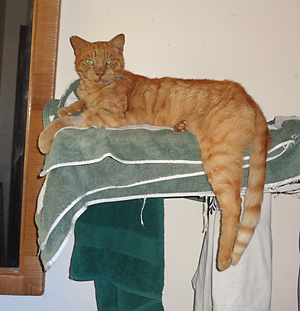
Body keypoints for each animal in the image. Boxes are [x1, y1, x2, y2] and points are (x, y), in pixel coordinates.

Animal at [37, 33, 270, 270]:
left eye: (109, 61)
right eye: (90, 61)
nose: (100, 73)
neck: (95, 88)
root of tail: (247, 96)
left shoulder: (109, 116)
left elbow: (66, 122)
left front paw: (46, 137)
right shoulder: (90, 103)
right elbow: (78, 105)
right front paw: (66, 108)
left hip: (218, 159)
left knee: (234, 205)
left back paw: (223, 257)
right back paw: (180, 126)